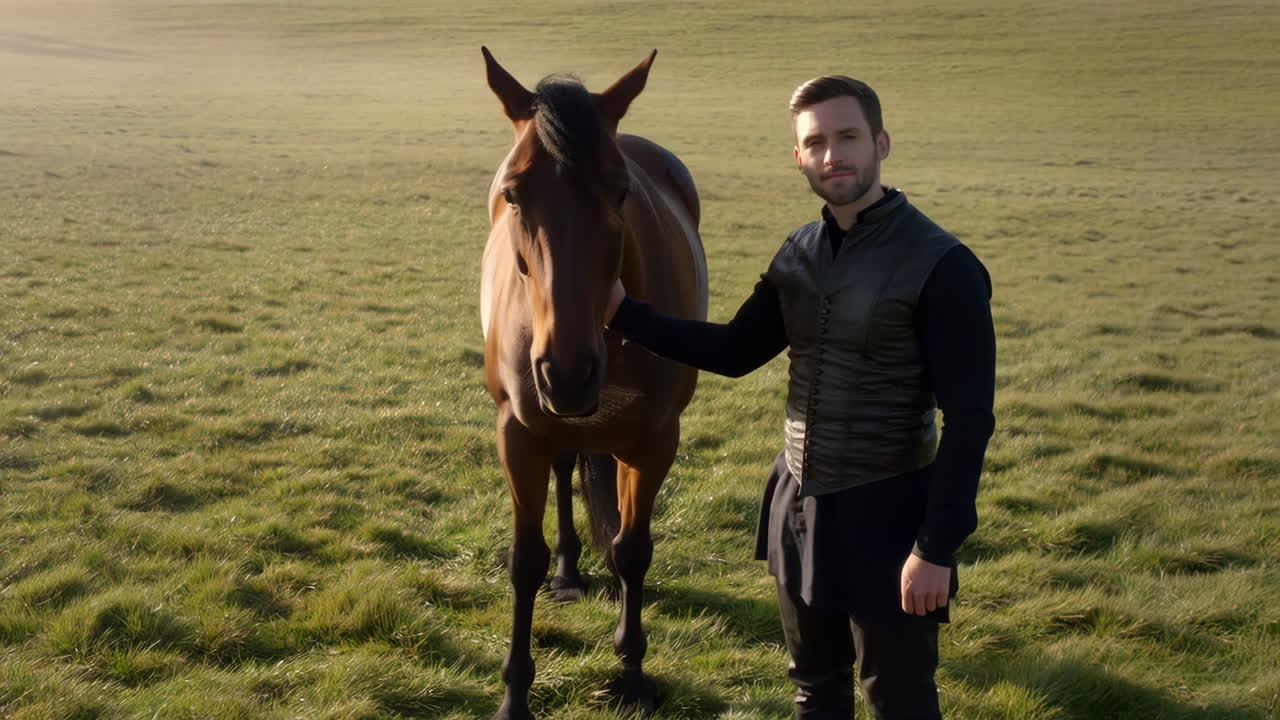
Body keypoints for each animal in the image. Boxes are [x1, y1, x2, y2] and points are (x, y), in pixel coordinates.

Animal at [479, 47, 707, 719]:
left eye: (621, 192)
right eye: (513, 194)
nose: (568, 371)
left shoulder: (655, 440)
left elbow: (633, 550)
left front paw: (632, 675)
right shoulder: (519, 434)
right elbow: (522, 561)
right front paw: (514, 694)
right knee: (564, 470)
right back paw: (568, 572)